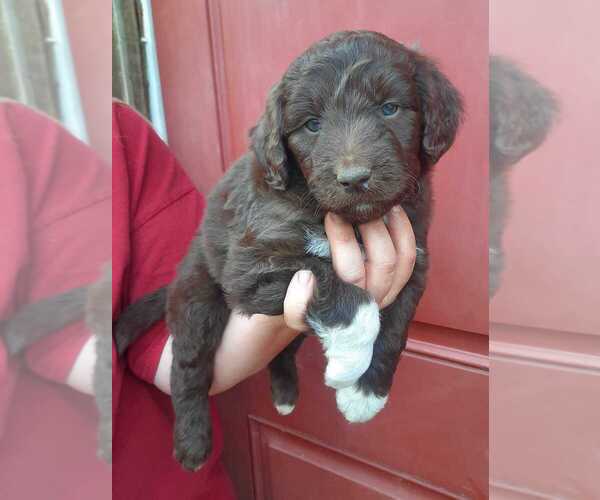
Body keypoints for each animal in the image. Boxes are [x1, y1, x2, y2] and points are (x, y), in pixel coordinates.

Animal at [117, 30, 464, 468]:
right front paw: (352, 358)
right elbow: (338, 284)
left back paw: (285, 395)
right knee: (189, 365)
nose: (355, 178)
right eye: (312, 125)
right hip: (198, 297)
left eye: (390, 109)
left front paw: (366, 394)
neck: (351, 219)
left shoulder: (412, 259)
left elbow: (396, 328)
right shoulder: (253, 265)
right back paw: (193, 442)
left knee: (282, 350)